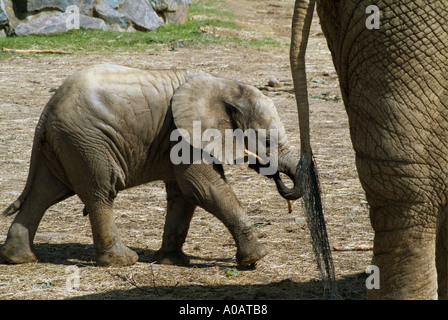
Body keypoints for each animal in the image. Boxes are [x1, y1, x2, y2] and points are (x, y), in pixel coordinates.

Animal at [0, 64, 300, 268]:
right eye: (268, 142)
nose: (277, 176)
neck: (224, 84)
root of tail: (46, 111)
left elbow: (184, 194)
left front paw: (173, 261)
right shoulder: (184, 135)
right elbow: (204, 188)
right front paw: (255, 259)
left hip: (64, 144)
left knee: (44, 194)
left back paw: (19, 259)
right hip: (86, 142)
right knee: (100, 193)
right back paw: (123, 261)